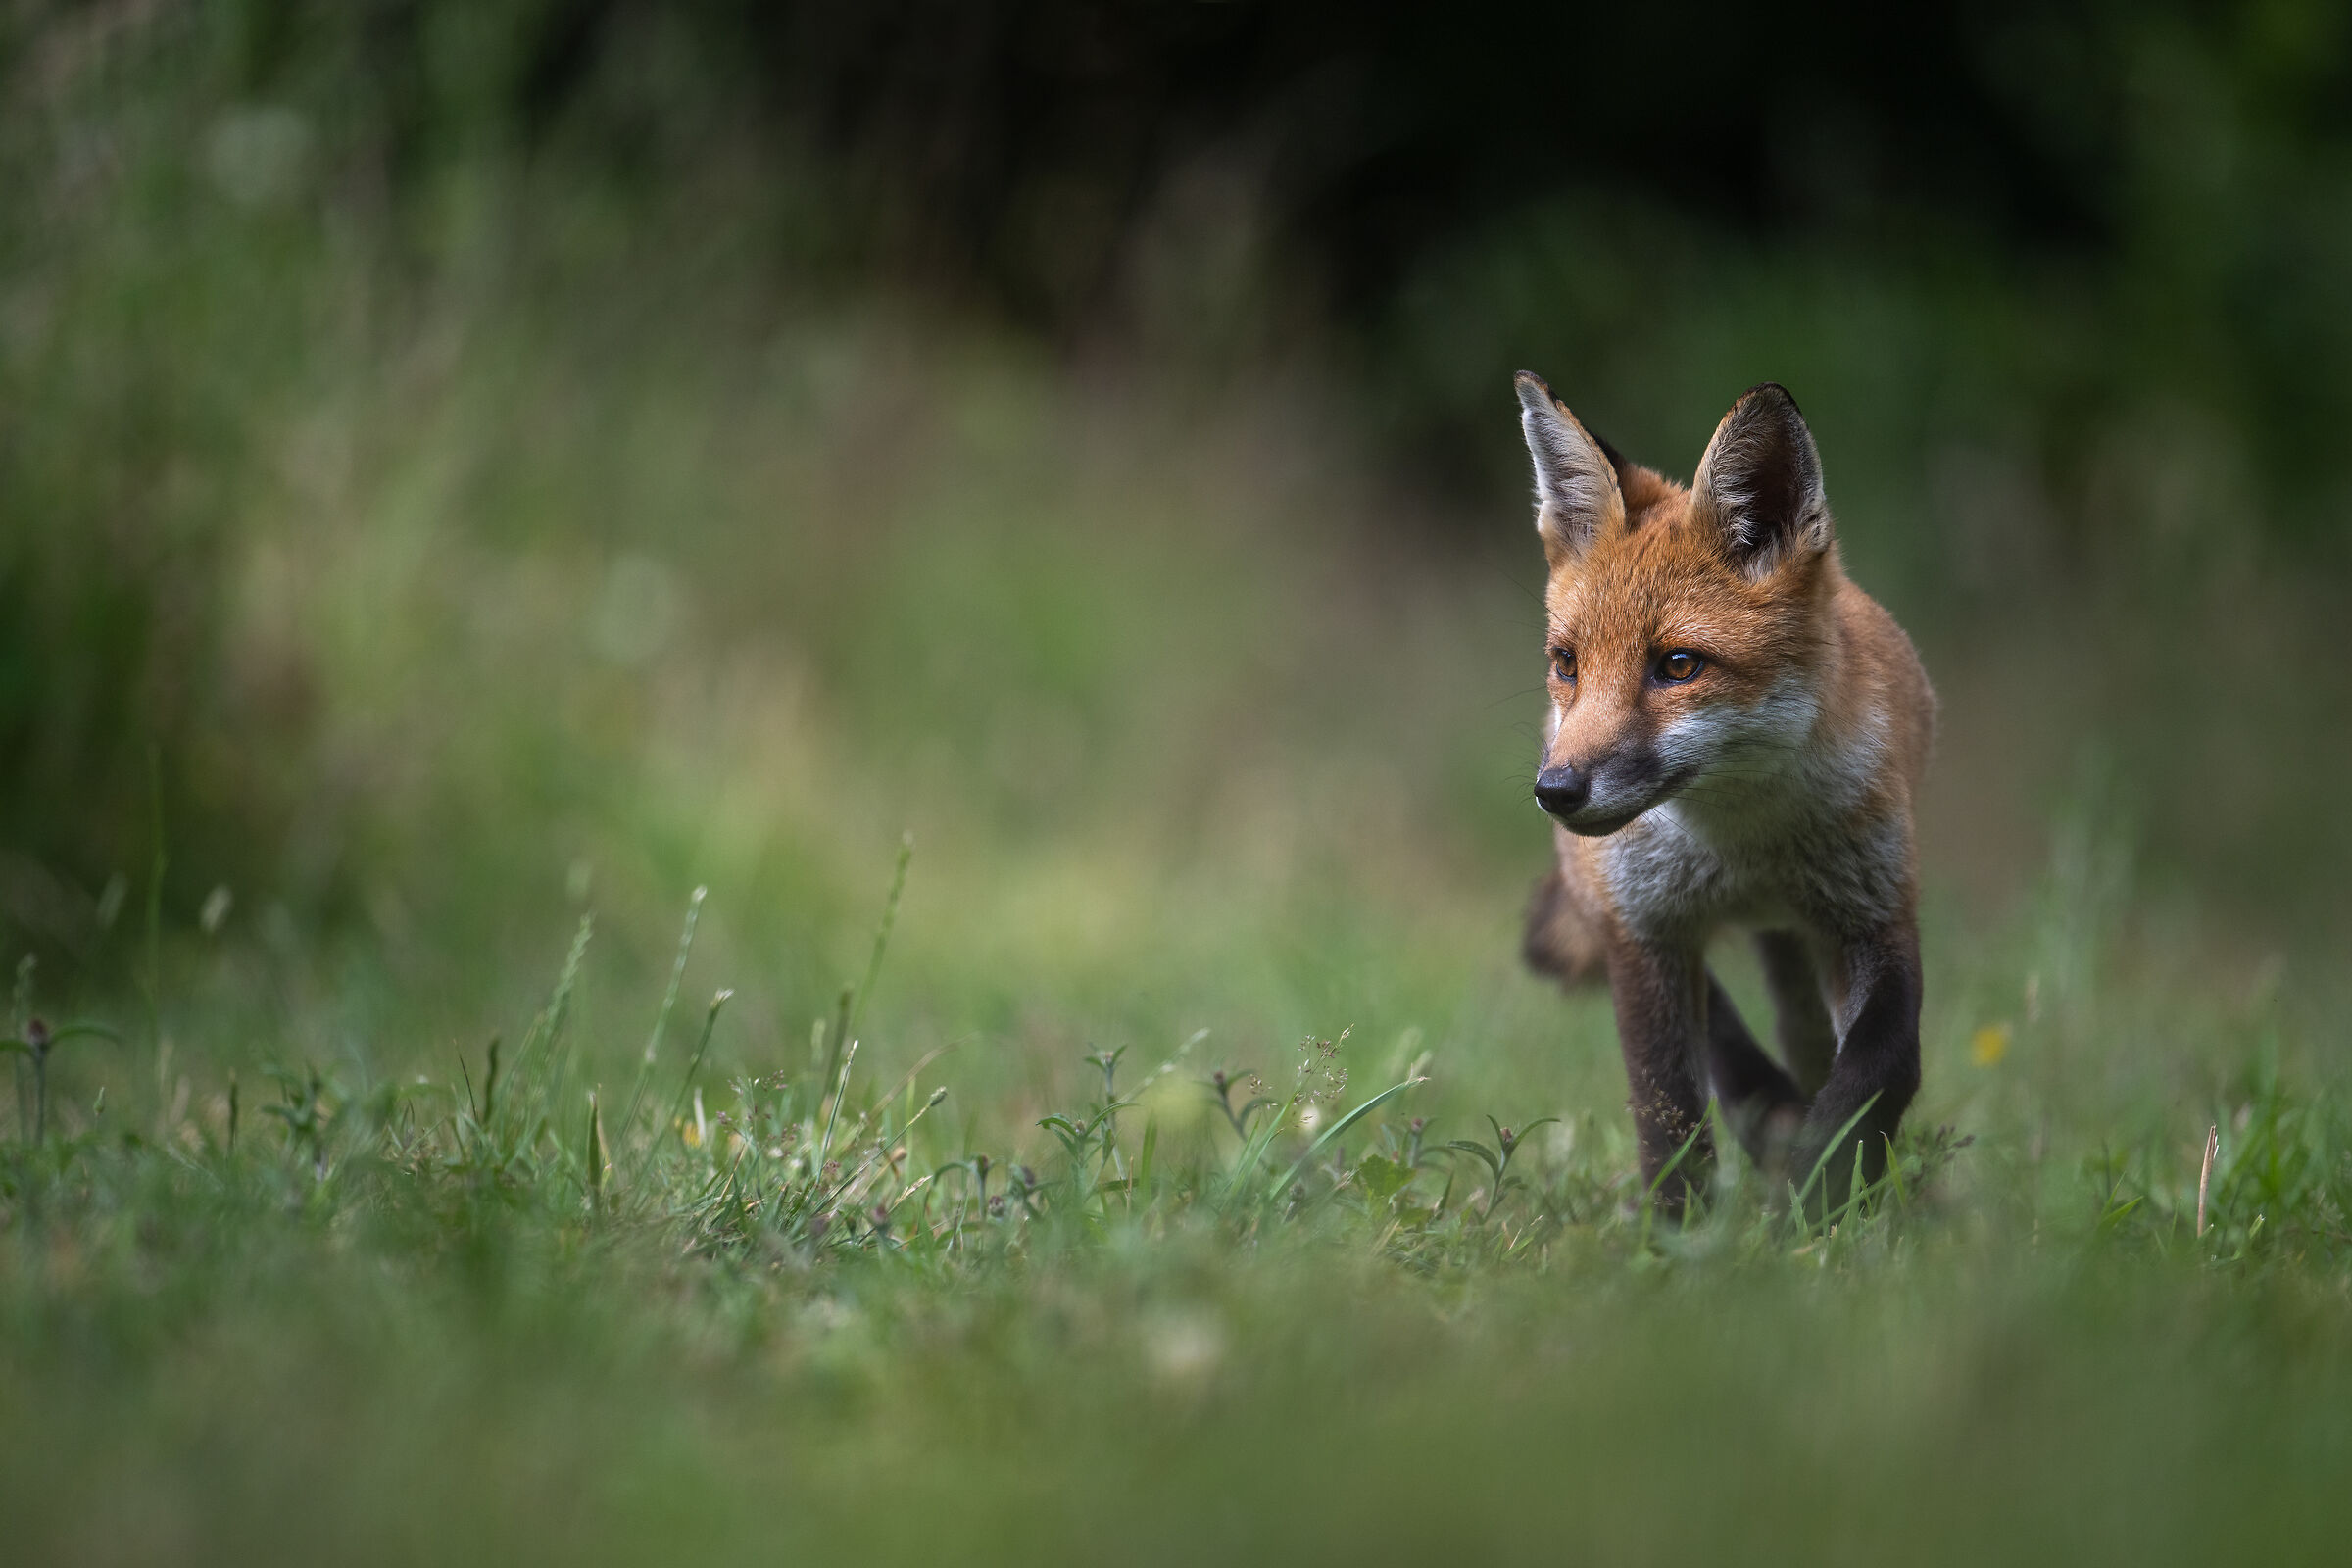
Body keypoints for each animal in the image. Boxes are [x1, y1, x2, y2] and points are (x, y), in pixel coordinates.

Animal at [1511, 373, 1935, 1213]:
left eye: (1678, 665)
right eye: (1568, 663)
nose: (1557, 791)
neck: (1745, 846)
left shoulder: (1876, 908)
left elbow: (1883, 1064)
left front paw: (1822, 1189)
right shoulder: (1642, 928)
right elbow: (1668, 1108)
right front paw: (1683, 1233)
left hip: (1803, 947)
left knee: (1807, 1044)